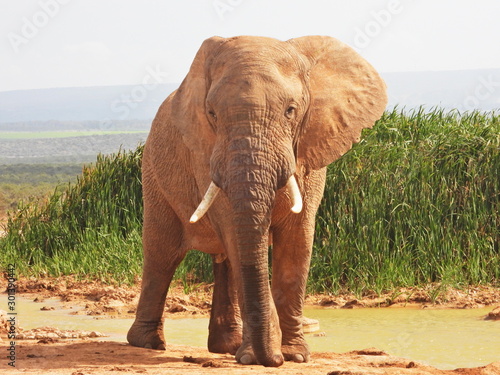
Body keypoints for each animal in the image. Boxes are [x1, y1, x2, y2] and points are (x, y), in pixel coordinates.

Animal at [128, 35, 386, 368]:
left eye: (291, 111)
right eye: (212, 114)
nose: (270, 359)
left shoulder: (311, 149)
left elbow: (297, 239)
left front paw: (295, 355)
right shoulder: (207, 152)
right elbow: (238, 237)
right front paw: (263, 354)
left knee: (221, 259)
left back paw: (226, 346)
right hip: (153, 171)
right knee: (163, 253)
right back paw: (148, 343)